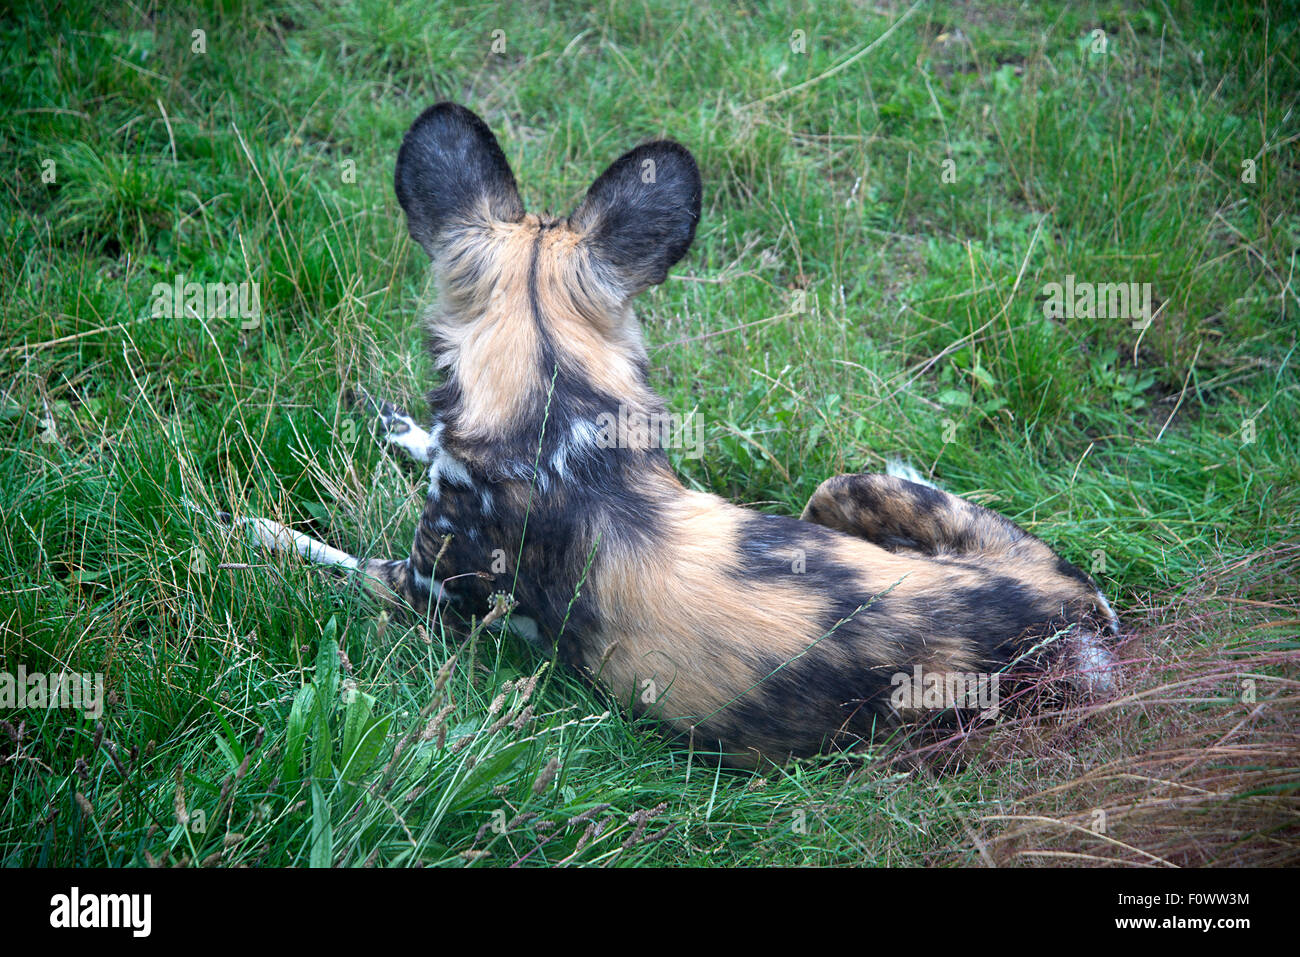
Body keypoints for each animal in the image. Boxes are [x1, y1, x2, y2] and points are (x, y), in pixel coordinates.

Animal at [236, 100, 1118, 764]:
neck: (555, 422)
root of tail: (1076, 612)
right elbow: (423, 445)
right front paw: (398, 427)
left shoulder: (420, 593)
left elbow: (328, 556)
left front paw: (256, 530)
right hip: (843, 491)